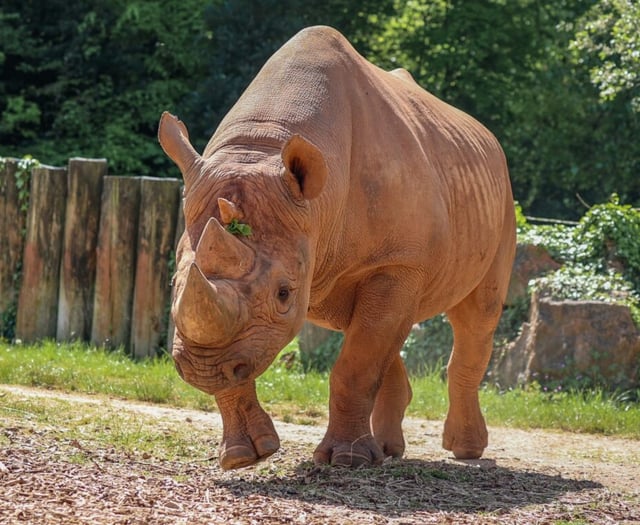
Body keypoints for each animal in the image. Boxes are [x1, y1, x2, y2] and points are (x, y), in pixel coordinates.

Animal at [158, 26, 516, 470]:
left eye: (284, 294)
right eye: (173, 283)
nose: (199, 370)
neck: (261, 146)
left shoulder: (397, 261)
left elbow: (356, 365)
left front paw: (347, 460)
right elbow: (243, 360)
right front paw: (243, 457)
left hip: (501, 201)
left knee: (475, 317)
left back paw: (464, 451)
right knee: (381, 327)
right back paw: (389, 450)